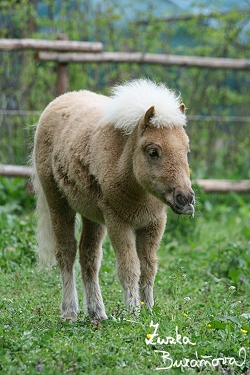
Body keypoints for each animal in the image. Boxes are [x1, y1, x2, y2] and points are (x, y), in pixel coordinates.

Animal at [32, 79, 194, 324]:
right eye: (153, 151)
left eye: (186, 150)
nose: (185, 199)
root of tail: (61, 100)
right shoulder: (118, 222)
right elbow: (129, 268)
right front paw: (133, 313)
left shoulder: (154, 223)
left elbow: (148, 267)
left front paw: (149, 310)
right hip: (58, 204)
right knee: (66, 252)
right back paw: (70, 311)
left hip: (92, 216)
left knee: (88, 256)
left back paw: (97, 312)